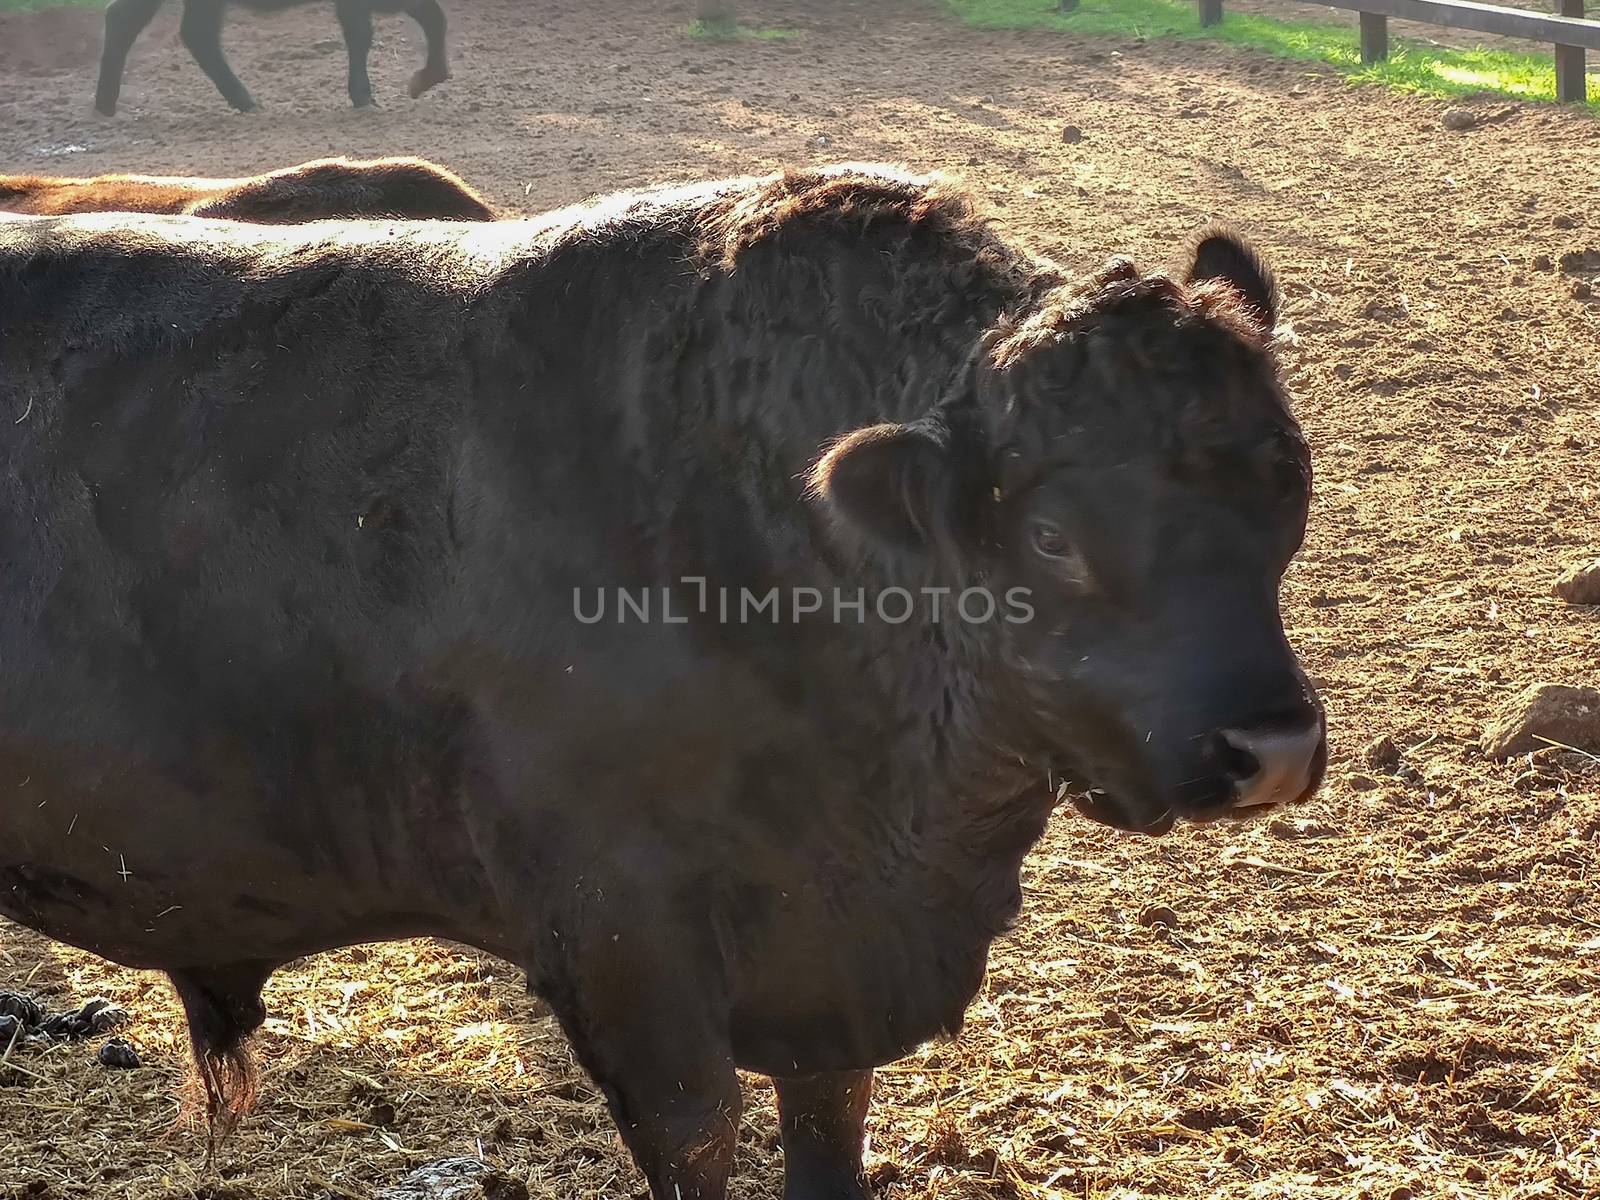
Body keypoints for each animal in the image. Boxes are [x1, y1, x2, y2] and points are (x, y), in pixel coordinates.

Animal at [0, 167, 1324, 1200]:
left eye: (1288, 474)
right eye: (1050, 537)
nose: (1267, 748)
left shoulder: (826, 959)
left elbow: (828, 1132)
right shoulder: (627, 942)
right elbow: (699, 1133)